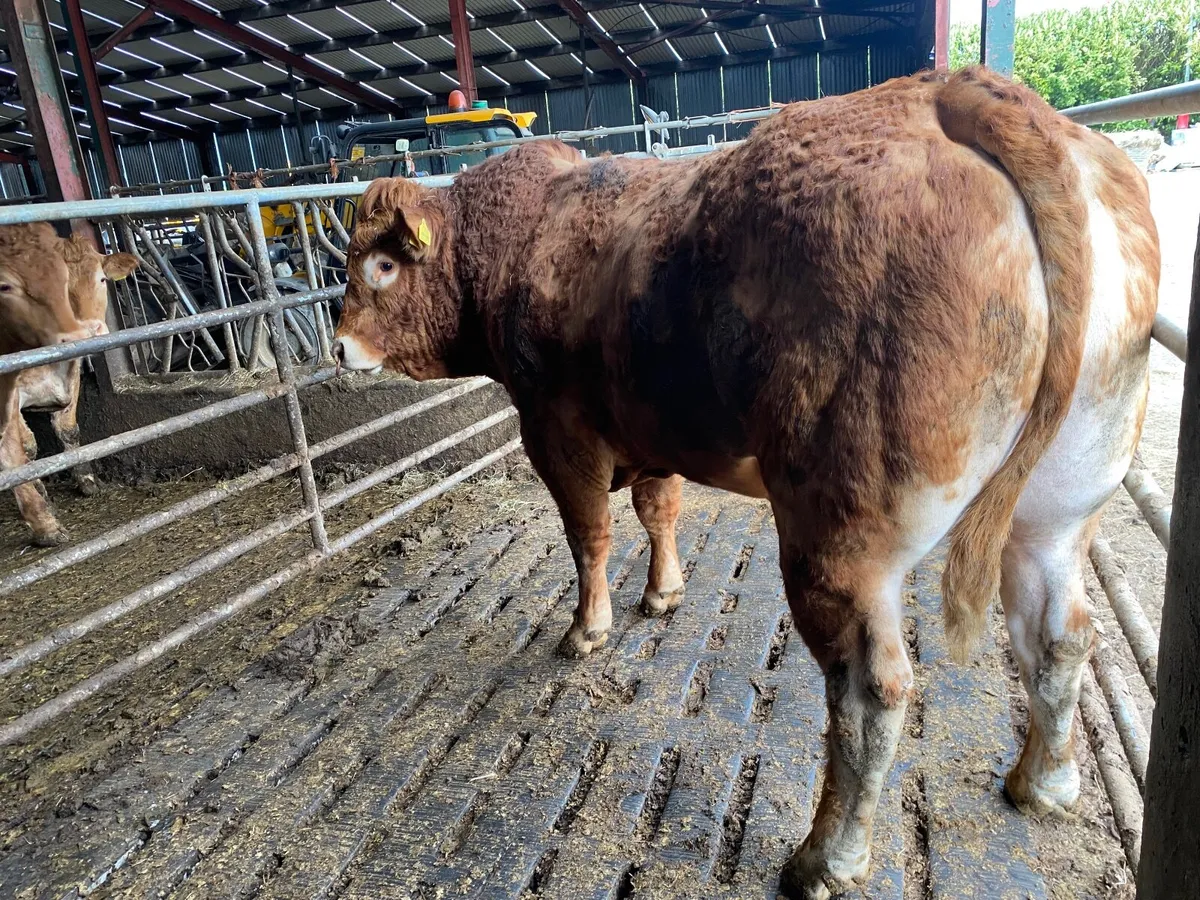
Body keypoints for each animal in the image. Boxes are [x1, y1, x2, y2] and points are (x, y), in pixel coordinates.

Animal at [0, 223, 136, 545]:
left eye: (101, 279)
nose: (91, 329)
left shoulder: (71, 370)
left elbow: (68, 428)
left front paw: (87, 480)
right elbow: (24, 448)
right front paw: (42, 511)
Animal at [331, 68, 1159, 898]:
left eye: (381, 265)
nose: (338, 348)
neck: (523, 240)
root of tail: (949, 93)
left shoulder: (557, 430)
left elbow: (588, 534)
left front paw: (586, 628)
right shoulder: (653, 426)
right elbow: (658, 509)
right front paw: (663, 592)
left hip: (841, 538)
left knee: (870, 691)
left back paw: (826, 858)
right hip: (1058, 508)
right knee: (1060, 634)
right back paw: (1043, 782)